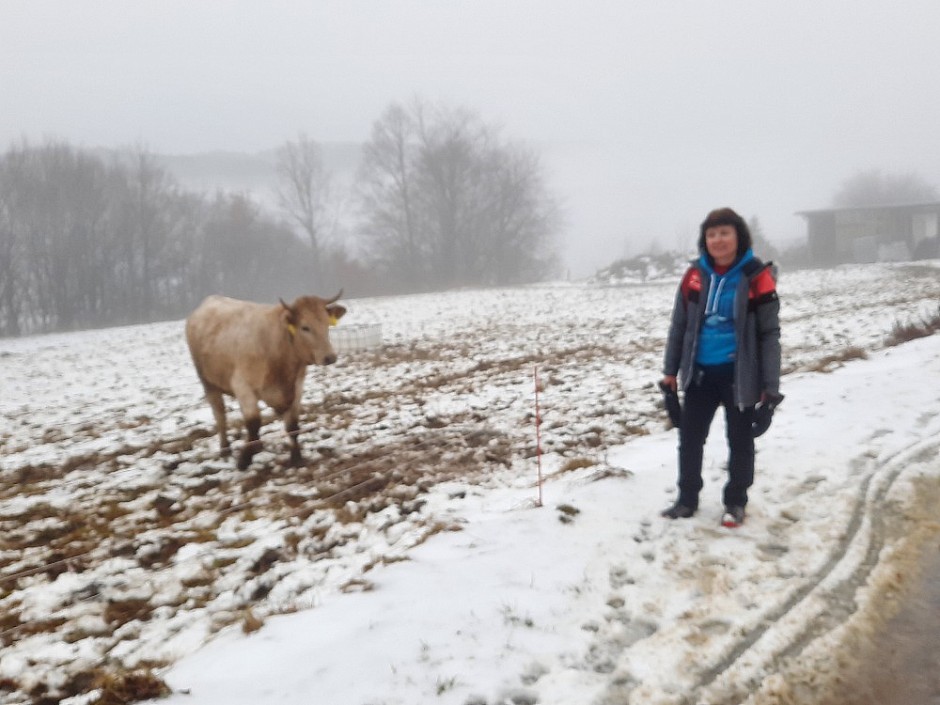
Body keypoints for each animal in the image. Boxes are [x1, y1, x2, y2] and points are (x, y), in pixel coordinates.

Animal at [185, 292, 346, 468]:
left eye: (327, 324)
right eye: (305, 327)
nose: (330, 357)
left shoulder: (297, 387)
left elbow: (292, 425)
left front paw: (296, 457)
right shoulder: (242, 385)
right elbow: (254, 422)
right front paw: (244, 459)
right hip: (208, 382)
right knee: (220, 415)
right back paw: (225, 449)